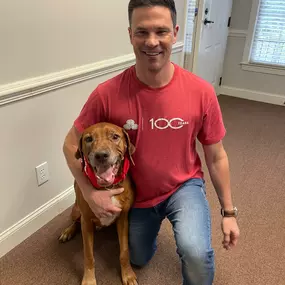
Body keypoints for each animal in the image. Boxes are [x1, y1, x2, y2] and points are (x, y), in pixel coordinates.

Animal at [58, 121, 138, 284]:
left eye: (115, 136)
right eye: (88, 139)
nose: (101, 155)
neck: (108, 187)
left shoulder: (123, 219)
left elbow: (124, 251)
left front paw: (127, 274)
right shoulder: (86, 222)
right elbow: (88, 255)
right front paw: (89, 279)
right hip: (76, 210)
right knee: (75, 221)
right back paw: (68, 231)